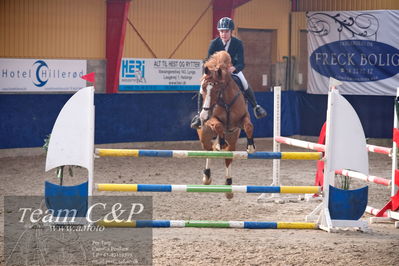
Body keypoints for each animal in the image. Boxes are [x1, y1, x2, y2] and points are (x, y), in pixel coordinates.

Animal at [197, 51, 256, 198]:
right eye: (203, 89)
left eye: (217, 89)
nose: (203, 116)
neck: (226, 101)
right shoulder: (212, 120)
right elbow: (218, 125)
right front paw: (221, 142)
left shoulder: (242, 119)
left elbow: (249, 126)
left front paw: (250, 146)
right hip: (204, 136)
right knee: (209, 151)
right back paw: (207, 177)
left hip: (233, 137)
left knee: (228, 157)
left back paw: (229, 186)